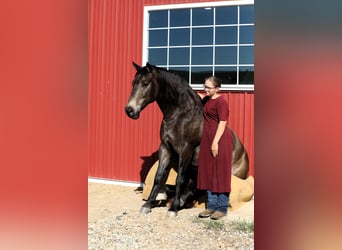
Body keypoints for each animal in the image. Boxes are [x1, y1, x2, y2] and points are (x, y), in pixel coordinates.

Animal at [125, 62, 248, 217]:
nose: (129, 110)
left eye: (145, 83)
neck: (181, 115)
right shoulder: (165, 148)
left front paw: (173, 208)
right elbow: (159, 177)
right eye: (133, 83)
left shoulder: (186, 150)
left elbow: (180, 179)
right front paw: (148, 204)